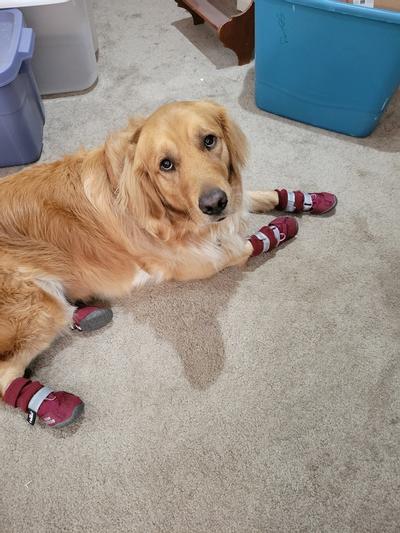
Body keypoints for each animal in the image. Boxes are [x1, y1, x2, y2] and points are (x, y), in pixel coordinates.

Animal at [0, 100, 336, 427]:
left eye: (209, 140)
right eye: (166, 164)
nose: (214, 204)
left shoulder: (230, 202)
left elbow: (252, 196)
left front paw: (302, 198)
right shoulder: (196, 261)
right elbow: (243, 248)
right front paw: (277, 230)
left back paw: (87, 313)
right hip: (40, 307)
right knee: (6, 373)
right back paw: (51, 403)